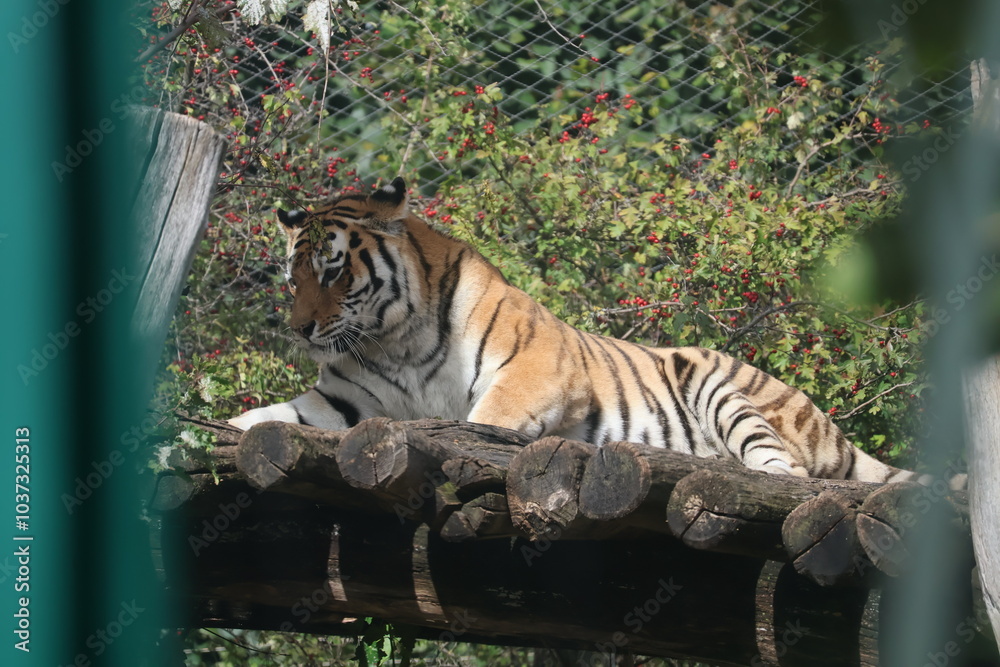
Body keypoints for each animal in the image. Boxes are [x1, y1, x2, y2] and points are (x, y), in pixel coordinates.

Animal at [228, 176, 958, 487]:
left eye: (332, 270)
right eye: (292, 277)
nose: (300, 329)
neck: (391, 336)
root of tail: (831, 427)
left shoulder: (538, 366)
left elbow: (484, 416)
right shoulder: (344, 399)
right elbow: (270, 417)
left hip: (720, 382)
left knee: (787, 469)